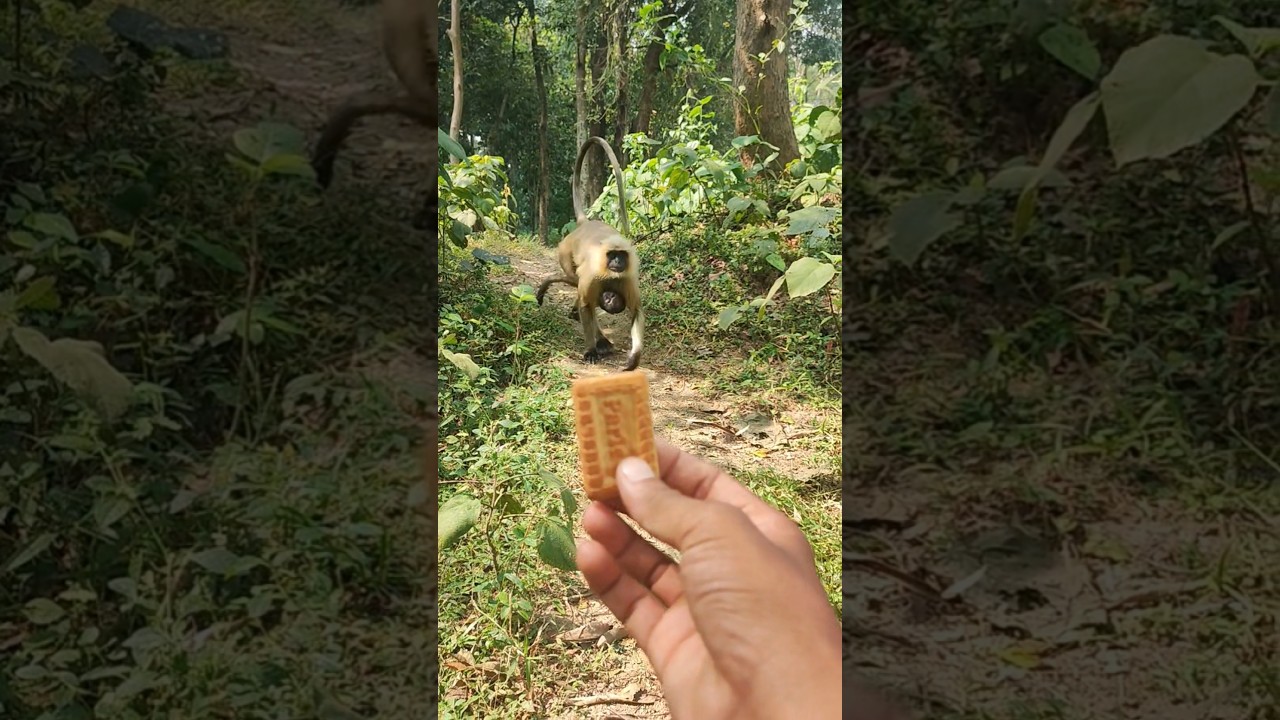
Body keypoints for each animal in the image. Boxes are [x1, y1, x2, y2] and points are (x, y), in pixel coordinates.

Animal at [535, 136, 644, 372]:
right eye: (614, 257)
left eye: (612, 299)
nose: (618, 259)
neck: (611, 280)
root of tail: (585, 224)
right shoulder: (594, 278)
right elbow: (587, 306)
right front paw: (592, 349)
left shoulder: (626, 281)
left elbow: (635, 311)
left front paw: (633, 359)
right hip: (565, 251)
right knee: (572, 279)